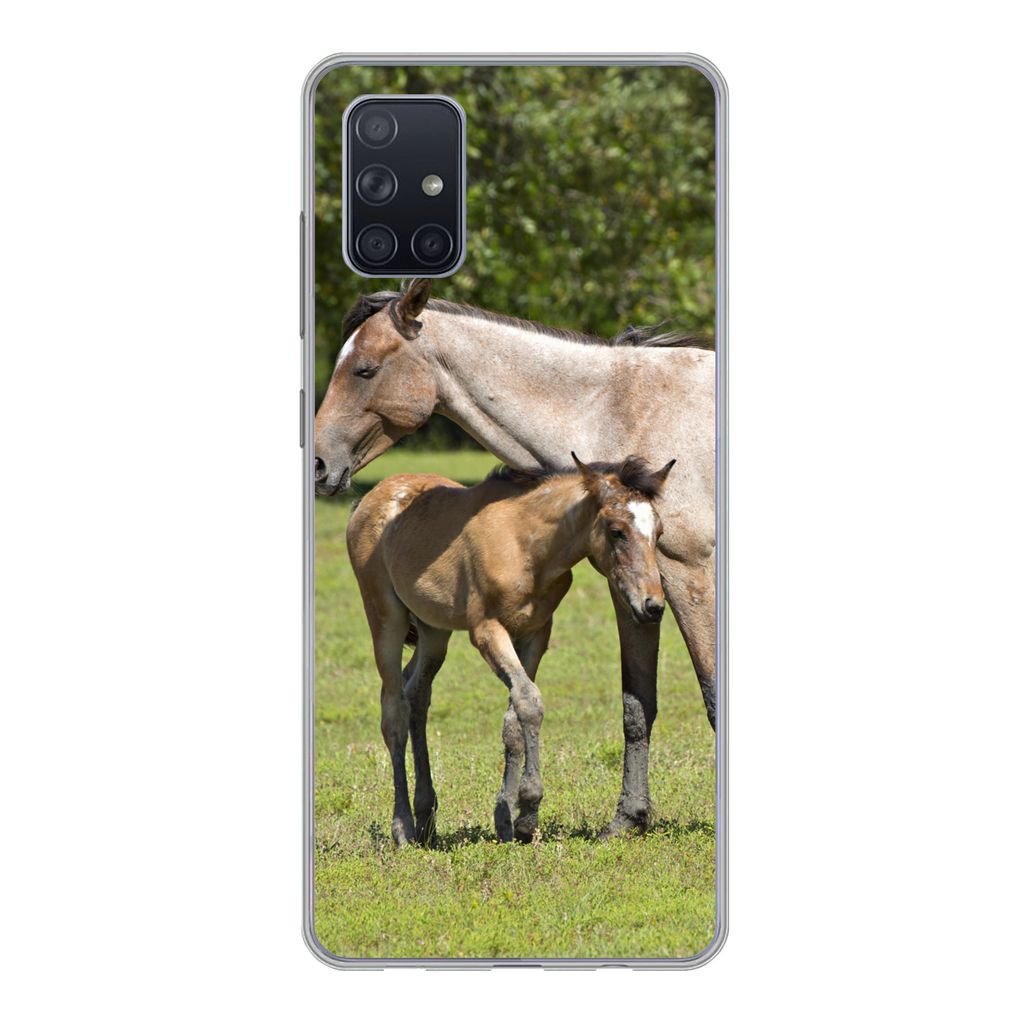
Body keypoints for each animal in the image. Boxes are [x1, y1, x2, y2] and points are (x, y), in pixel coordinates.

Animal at [346, 453, 674, 845]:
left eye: (658, 533)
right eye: (616, 531)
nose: (652, 606)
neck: (526, 546)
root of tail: (367, 500)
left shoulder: (536, 632)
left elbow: (514, 717)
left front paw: (507, 819)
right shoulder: (487, 630)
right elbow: (530, 702)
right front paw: (528, 810)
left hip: (433, 630)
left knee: (417, 695)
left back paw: (426, 816)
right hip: (385, 616)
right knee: (393, 709)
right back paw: (403, 827)